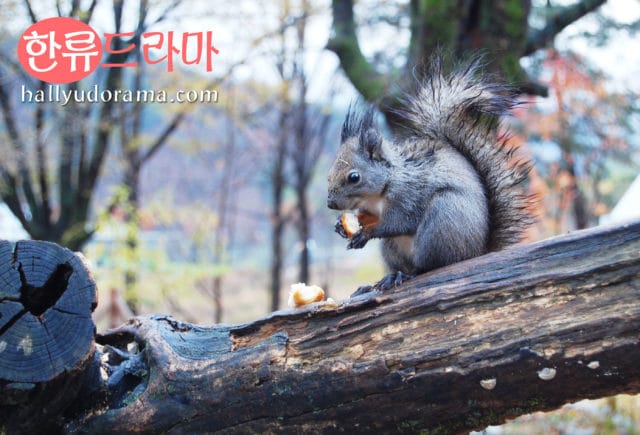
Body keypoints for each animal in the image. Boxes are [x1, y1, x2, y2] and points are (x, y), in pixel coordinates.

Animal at [327, 56, 535, 293]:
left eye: (354, 177)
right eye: (329, 175)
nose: (330, 204)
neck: (380, 191)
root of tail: (477, 252)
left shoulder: (409, 197)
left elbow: (398, 223)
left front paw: (366, 233)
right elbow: (369, 217)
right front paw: (341, 225)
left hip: (442, 222)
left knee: (429, 266)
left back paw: (410, 274)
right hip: (393, 248)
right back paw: (388, 278)